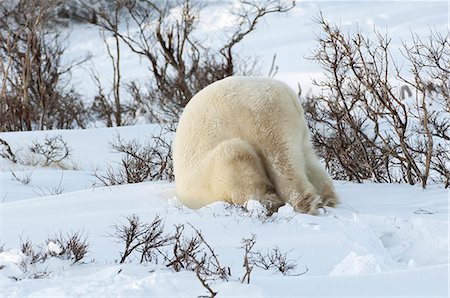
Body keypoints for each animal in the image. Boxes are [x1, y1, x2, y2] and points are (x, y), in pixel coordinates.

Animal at [172, 75, 338, 213]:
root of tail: (288, 94)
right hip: (294, 127)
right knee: (306, 158)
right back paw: (327, 197)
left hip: (260, 120)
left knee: (269, 157)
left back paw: (299, 203)